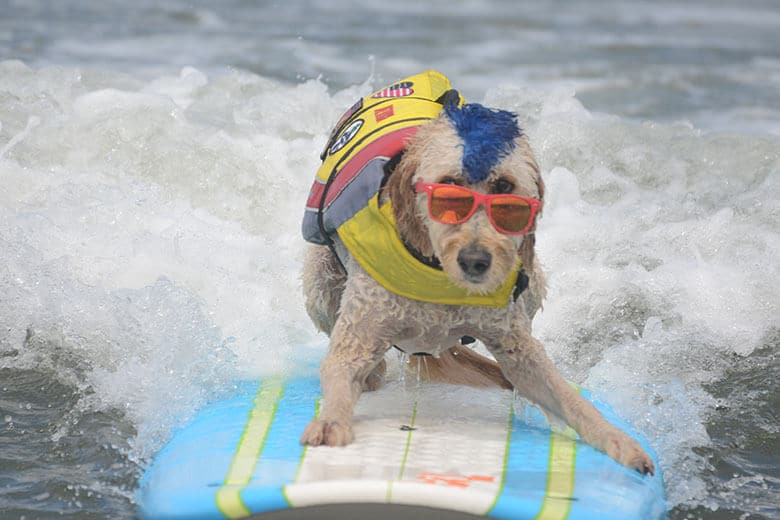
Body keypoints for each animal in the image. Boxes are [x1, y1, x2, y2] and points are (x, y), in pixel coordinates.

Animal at [302, 72, 656, 476]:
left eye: (505, 189)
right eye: (448, 190)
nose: (475, 260)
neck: (435, 273)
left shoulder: (517, 348)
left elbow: (564, 394)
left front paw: (617, 439)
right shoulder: (359, 331)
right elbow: (341, 369)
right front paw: (331, 421)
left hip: (532, 280)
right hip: (320, 281)